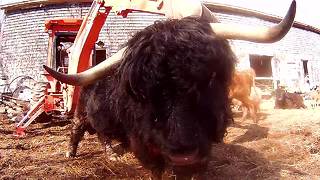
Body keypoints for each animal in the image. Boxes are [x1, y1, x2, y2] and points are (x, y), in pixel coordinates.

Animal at [43, 2, 296, 177]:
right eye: (142, 91)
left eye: (209, 78)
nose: (184, 156)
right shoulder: (145, 146)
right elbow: (156, 170)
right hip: (81, 112)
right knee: (78, 130)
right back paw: (75, 152)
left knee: (102, 134)